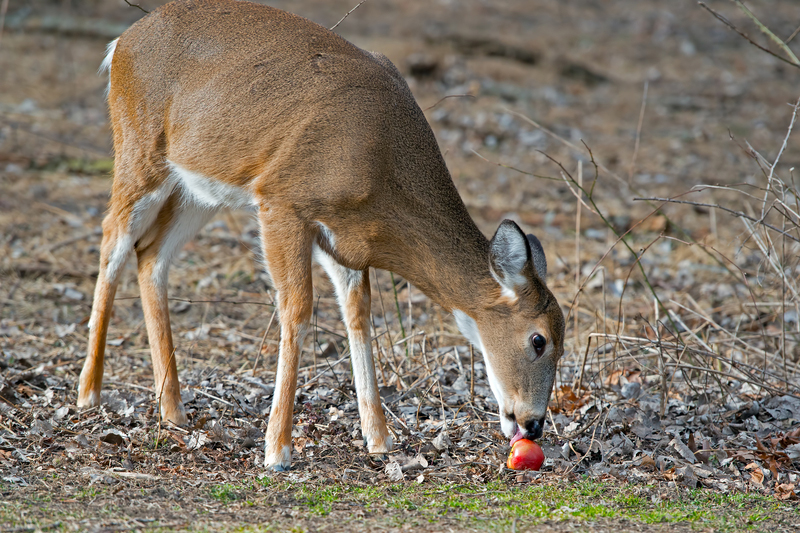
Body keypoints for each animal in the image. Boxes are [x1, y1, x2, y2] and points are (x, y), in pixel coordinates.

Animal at [77, 0, 565, 471]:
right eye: (538, 340)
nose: (534, 424)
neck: (381, 165)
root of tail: (121, 43)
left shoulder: (345, 241)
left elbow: (359, 315)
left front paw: (380, 440)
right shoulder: (282, 200)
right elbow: (296, 310)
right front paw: (277, 450)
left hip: (200, 187)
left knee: (150, 254)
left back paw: (173, 409)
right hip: (139, 150)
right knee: (112, 238)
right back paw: (89, 394)